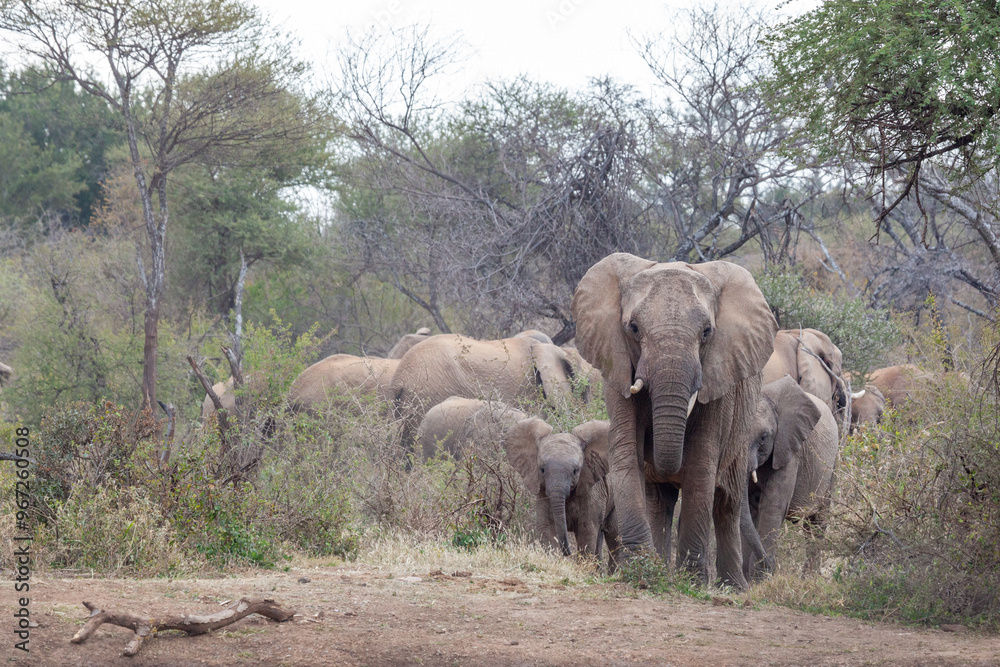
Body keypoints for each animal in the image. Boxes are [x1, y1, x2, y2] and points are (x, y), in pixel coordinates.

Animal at [505, 417, 614, 557]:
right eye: (542, 470)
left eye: (575, 471)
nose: (570, 553)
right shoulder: (543, 491)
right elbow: (547, 530)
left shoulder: (592, 490)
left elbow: (587, 532)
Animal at [572, 253, 777, 589]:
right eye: (633, 328)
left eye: (707, 332)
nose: (769, 569)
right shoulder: (617, 368)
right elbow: (626, 452)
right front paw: (641, 571)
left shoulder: (718, 377)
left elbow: (700, 463)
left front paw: (691, 582)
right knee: (660, 501)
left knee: (727, 504)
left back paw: (732, 587)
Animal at [742, 376, 838, 581]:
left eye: (763, 437)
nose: (773, 567)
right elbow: (751, 506)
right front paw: (747, 580)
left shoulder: (791, 450)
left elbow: (773, 505)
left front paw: (760, 579)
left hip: (832, 465)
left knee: (817, 522)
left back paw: (810, 578)